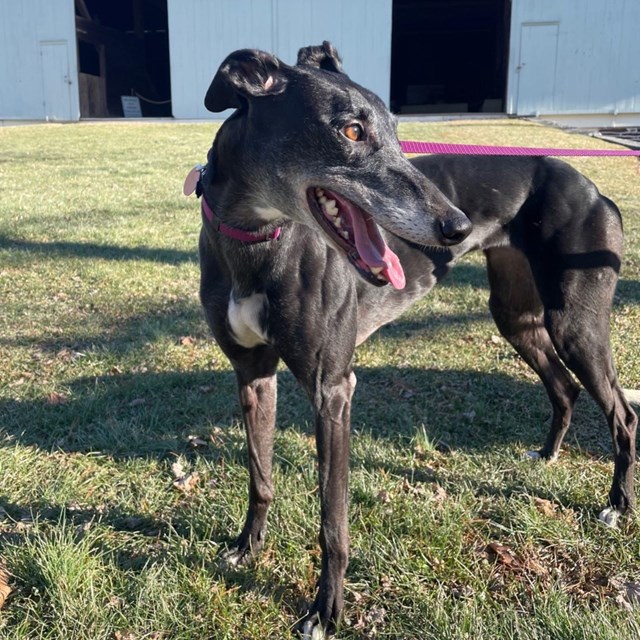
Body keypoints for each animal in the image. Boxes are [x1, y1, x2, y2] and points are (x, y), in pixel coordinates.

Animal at [189, 42, 636, 636]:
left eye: (398, 131)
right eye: (352, 131)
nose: (457, 227)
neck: (256, 238)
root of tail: (593, 189)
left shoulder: (333, 390)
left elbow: (333, 521)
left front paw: (325, 611)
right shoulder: (253, 374)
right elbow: (260, 476)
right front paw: (248, 548)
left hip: (576, 323)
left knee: (622, 413)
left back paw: (617, 504)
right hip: (516, 315)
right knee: (564, 388)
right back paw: (546, 456)